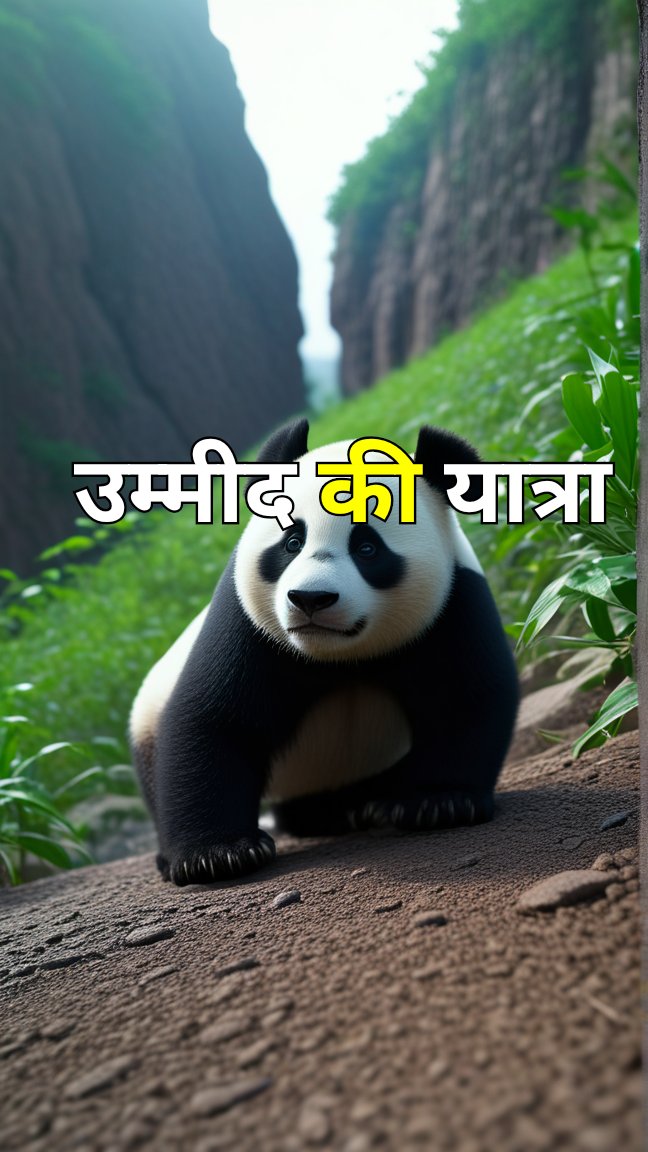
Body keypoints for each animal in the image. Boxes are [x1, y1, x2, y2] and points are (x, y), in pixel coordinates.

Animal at [130, 419, 519, 886]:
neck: (336, 656)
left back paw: (360, 808)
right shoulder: (248, 623)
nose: (310, 599)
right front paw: (218, 854)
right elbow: (214, 718)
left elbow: (463, 701)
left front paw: (437, 802)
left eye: (367, 547)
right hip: (149, 714)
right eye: (292, 541)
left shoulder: (454, 603)